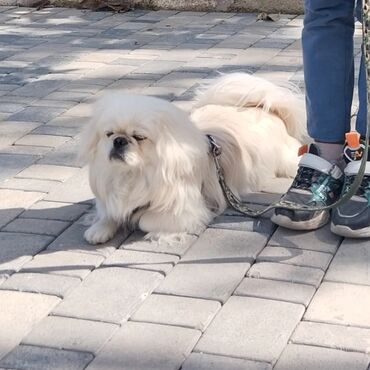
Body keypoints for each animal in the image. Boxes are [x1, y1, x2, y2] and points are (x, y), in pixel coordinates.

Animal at [81, 73, 306, 244]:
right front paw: (99, 229)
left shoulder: (188, 210)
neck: (133, 175)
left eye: (139, 137)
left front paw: (153, 230)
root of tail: (266, 109)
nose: (119, 141)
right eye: (109, 134)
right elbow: (109, 212)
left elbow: (146, 219)